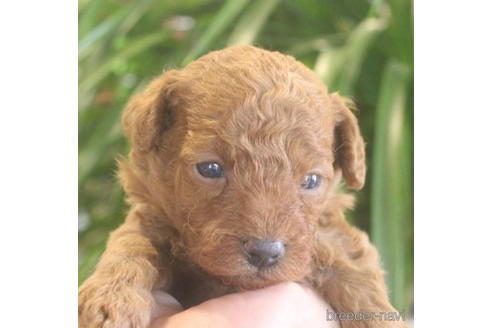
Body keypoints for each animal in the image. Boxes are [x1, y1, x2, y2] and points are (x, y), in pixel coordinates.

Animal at [79, 44, 406, 328]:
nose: (264, 252)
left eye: (311, 180)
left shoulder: (329, 235)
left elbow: (356, 274)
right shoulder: (151, 217)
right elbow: (132, 244)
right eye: (210, 169)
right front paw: (111, 299)